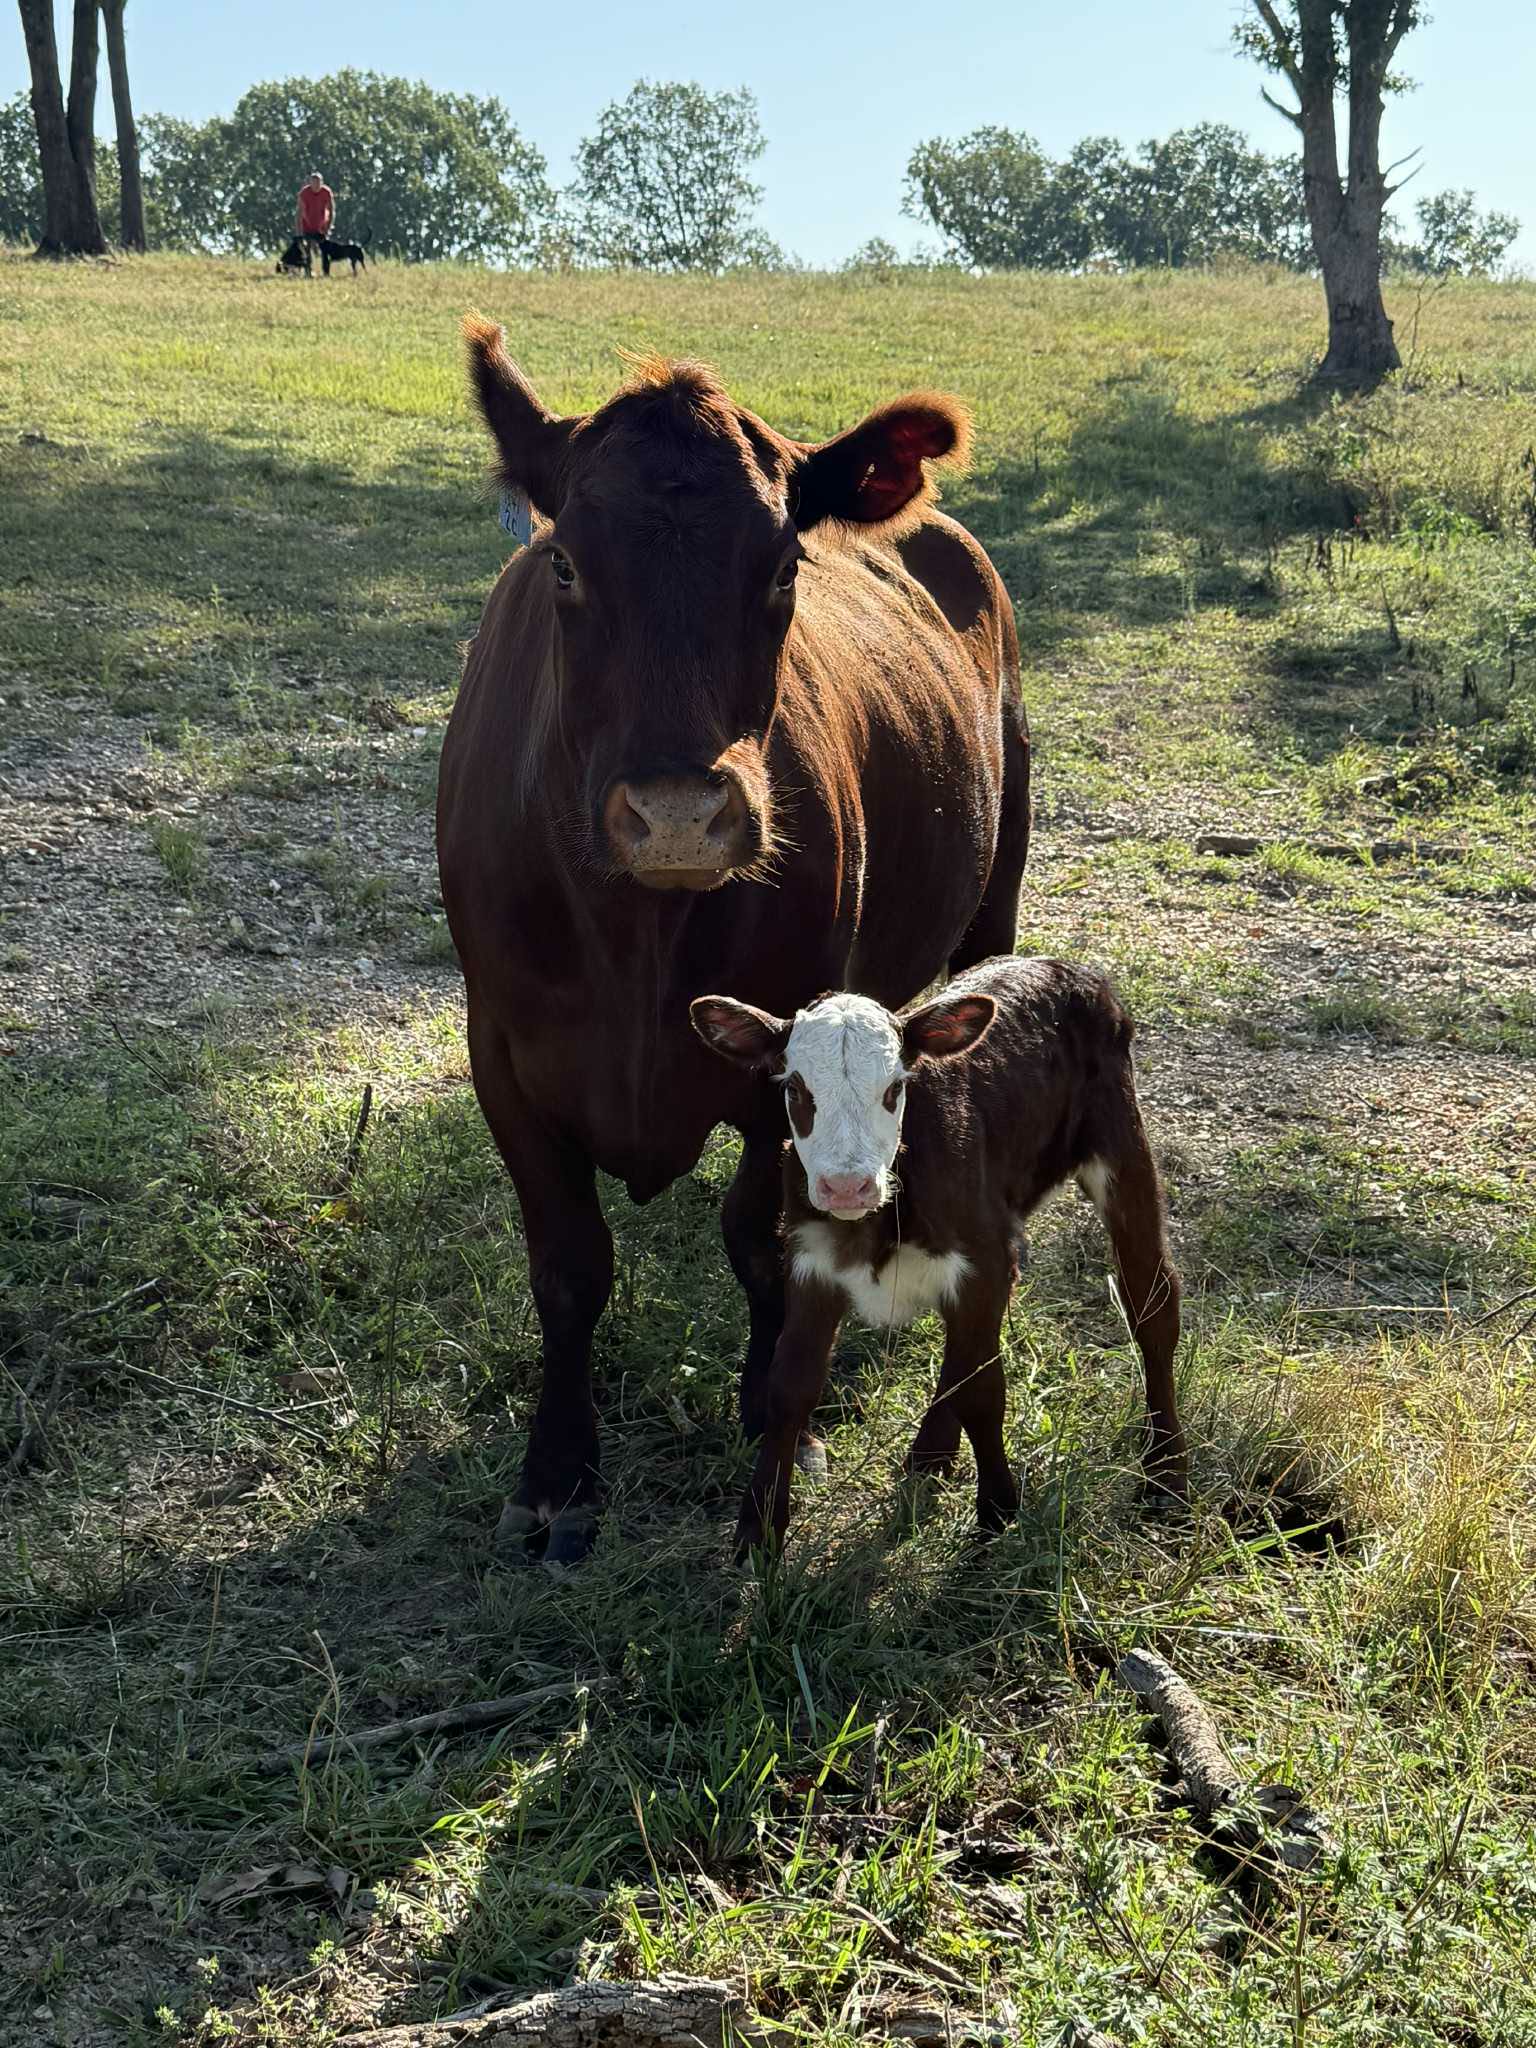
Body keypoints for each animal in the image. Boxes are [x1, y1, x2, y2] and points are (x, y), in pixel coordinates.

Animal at [436, 321, 1031, 1564]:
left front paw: (774, 1410)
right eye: (566, 565)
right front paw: (557, 1469)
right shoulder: (500, 1051)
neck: (637, 936)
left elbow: (757, 1234)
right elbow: (568, 1264)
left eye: (785, 568)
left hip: (996, 883)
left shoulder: (783, 1052)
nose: (676, 813)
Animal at [691, 958, 1188, 1555]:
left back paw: (1167, 1475)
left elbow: (984, 1390)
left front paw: (997, 1511)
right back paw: (931, 1453)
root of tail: (1059, 966)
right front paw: (758, 1528)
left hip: (1122, 1144)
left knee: (1152, 1302)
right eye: (795, 1087)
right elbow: (790, 1386)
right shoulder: (812, 1261)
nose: (846, 1187)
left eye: (894, 1088)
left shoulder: (978, 1261)